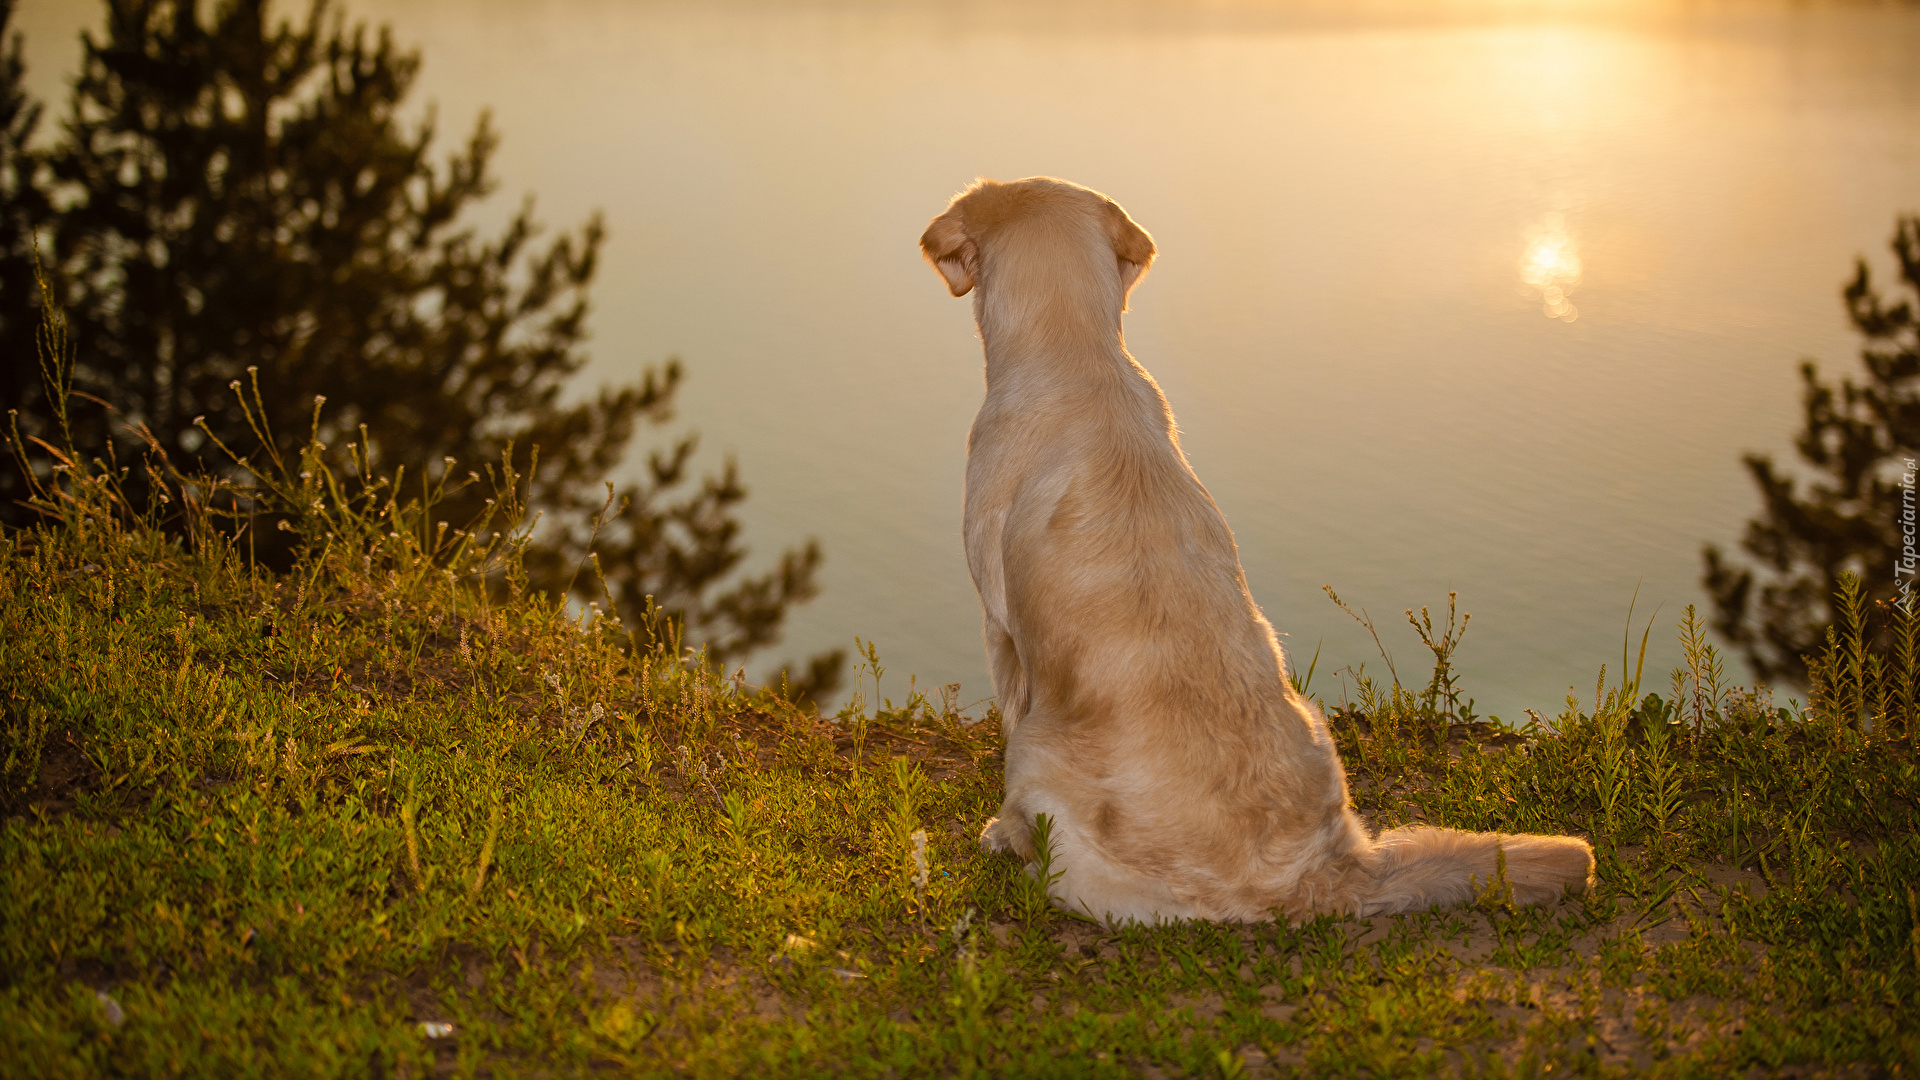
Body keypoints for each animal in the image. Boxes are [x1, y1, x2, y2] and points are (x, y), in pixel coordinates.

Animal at [913, 178, 1589, 926]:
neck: (1076, 356)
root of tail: (1322, 878)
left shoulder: (1001, 629)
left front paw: (998, 835)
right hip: (1317, 723)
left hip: (1041, 762)